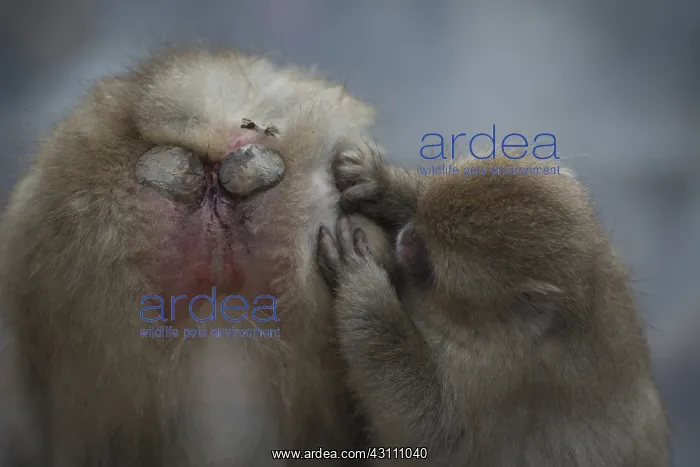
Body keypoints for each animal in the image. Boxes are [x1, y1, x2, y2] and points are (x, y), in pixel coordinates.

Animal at [316, 150, 671, 467]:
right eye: (418, 223)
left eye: (426, 258)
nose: (405, 236)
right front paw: (385, 186)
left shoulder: (497, 374)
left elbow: (431, 428)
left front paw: (361, 280)